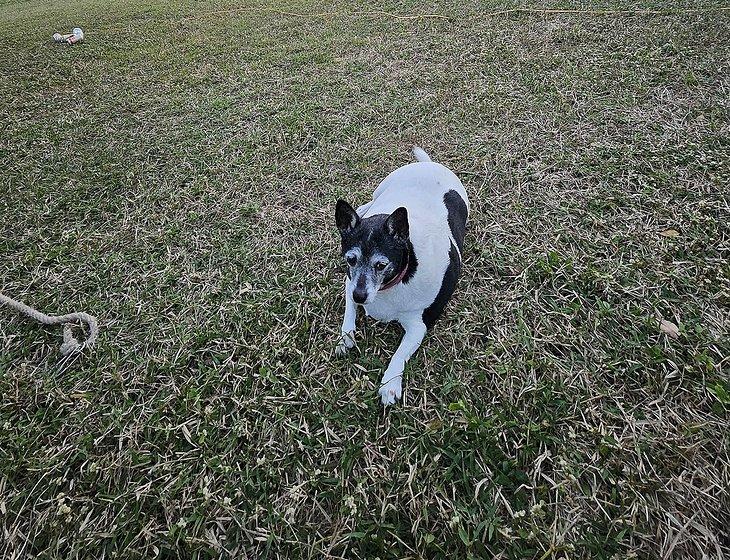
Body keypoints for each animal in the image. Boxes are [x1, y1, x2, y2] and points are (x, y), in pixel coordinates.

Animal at [334, 147, 466, 404]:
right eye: (350, 259)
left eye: (381, 265)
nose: (360, 296)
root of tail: (429, 164)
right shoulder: (349, 283)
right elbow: (348, 314)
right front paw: (346, 337)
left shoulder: (418, 326)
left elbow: (399, 354)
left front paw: (390, 384)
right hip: (383, 185)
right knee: (371, 200)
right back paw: (363, 210)